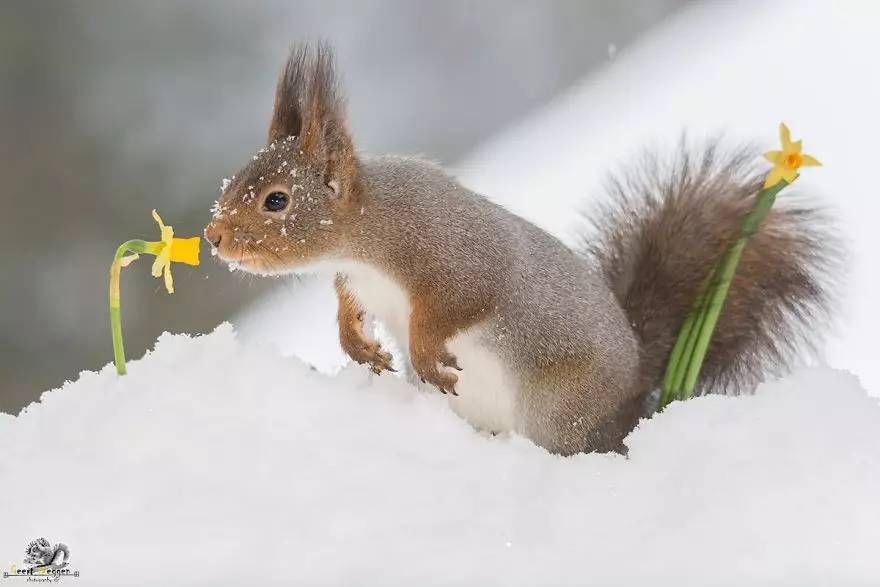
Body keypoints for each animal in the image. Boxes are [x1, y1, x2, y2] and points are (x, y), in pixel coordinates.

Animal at [203, 43, 836, 458]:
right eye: (236, 181)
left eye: (277, 201)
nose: (214, 237)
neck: (366, 234)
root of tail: (635, 400)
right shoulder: (356, 282)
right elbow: (348, 311)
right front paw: (361, 348)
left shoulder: (454, 255)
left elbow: (463, 301)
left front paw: (425, 354)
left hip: (559, 410)